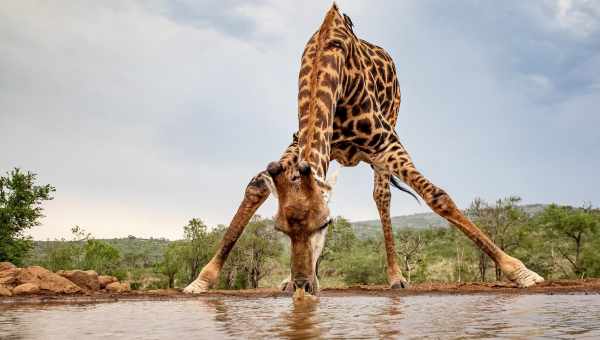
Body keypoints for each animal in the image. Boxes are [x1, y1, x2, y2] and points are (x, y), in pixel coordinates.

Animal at [183, 2, 544, 294]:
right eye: (279, 229)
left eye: (324, 224)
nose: (302, 285)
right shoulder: (298, 141)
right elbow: (256, 186)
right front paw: (201, 279)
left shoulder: (386, 141)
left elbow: (437, 196)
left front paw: (521, 272)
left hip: (387, 134)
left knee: (382, 197)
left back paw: (395, 277)